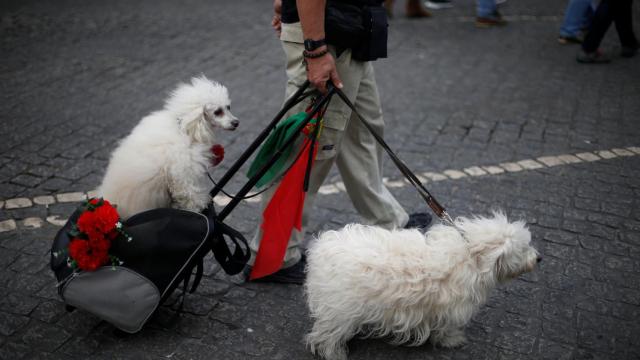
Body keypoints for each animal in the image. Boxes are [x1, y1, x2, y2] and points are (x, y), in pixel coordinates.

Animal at [99, 76, 239, 218]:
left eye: (228, 107)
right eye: (217, 112)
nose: (236, 123)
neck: (185, 128)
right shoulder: (182, 174)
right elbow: (191, 195)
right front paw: (200, 207)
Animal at [304, 212, 540, 358]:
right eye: (523, 248)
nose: (539, 258)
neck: (470, 256)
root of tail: (321, 248)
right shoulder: (450, 309)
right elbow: (446, 328)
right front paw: (452, 340)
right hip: (341, 310)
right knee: (325, 336)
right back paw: (334, 354)